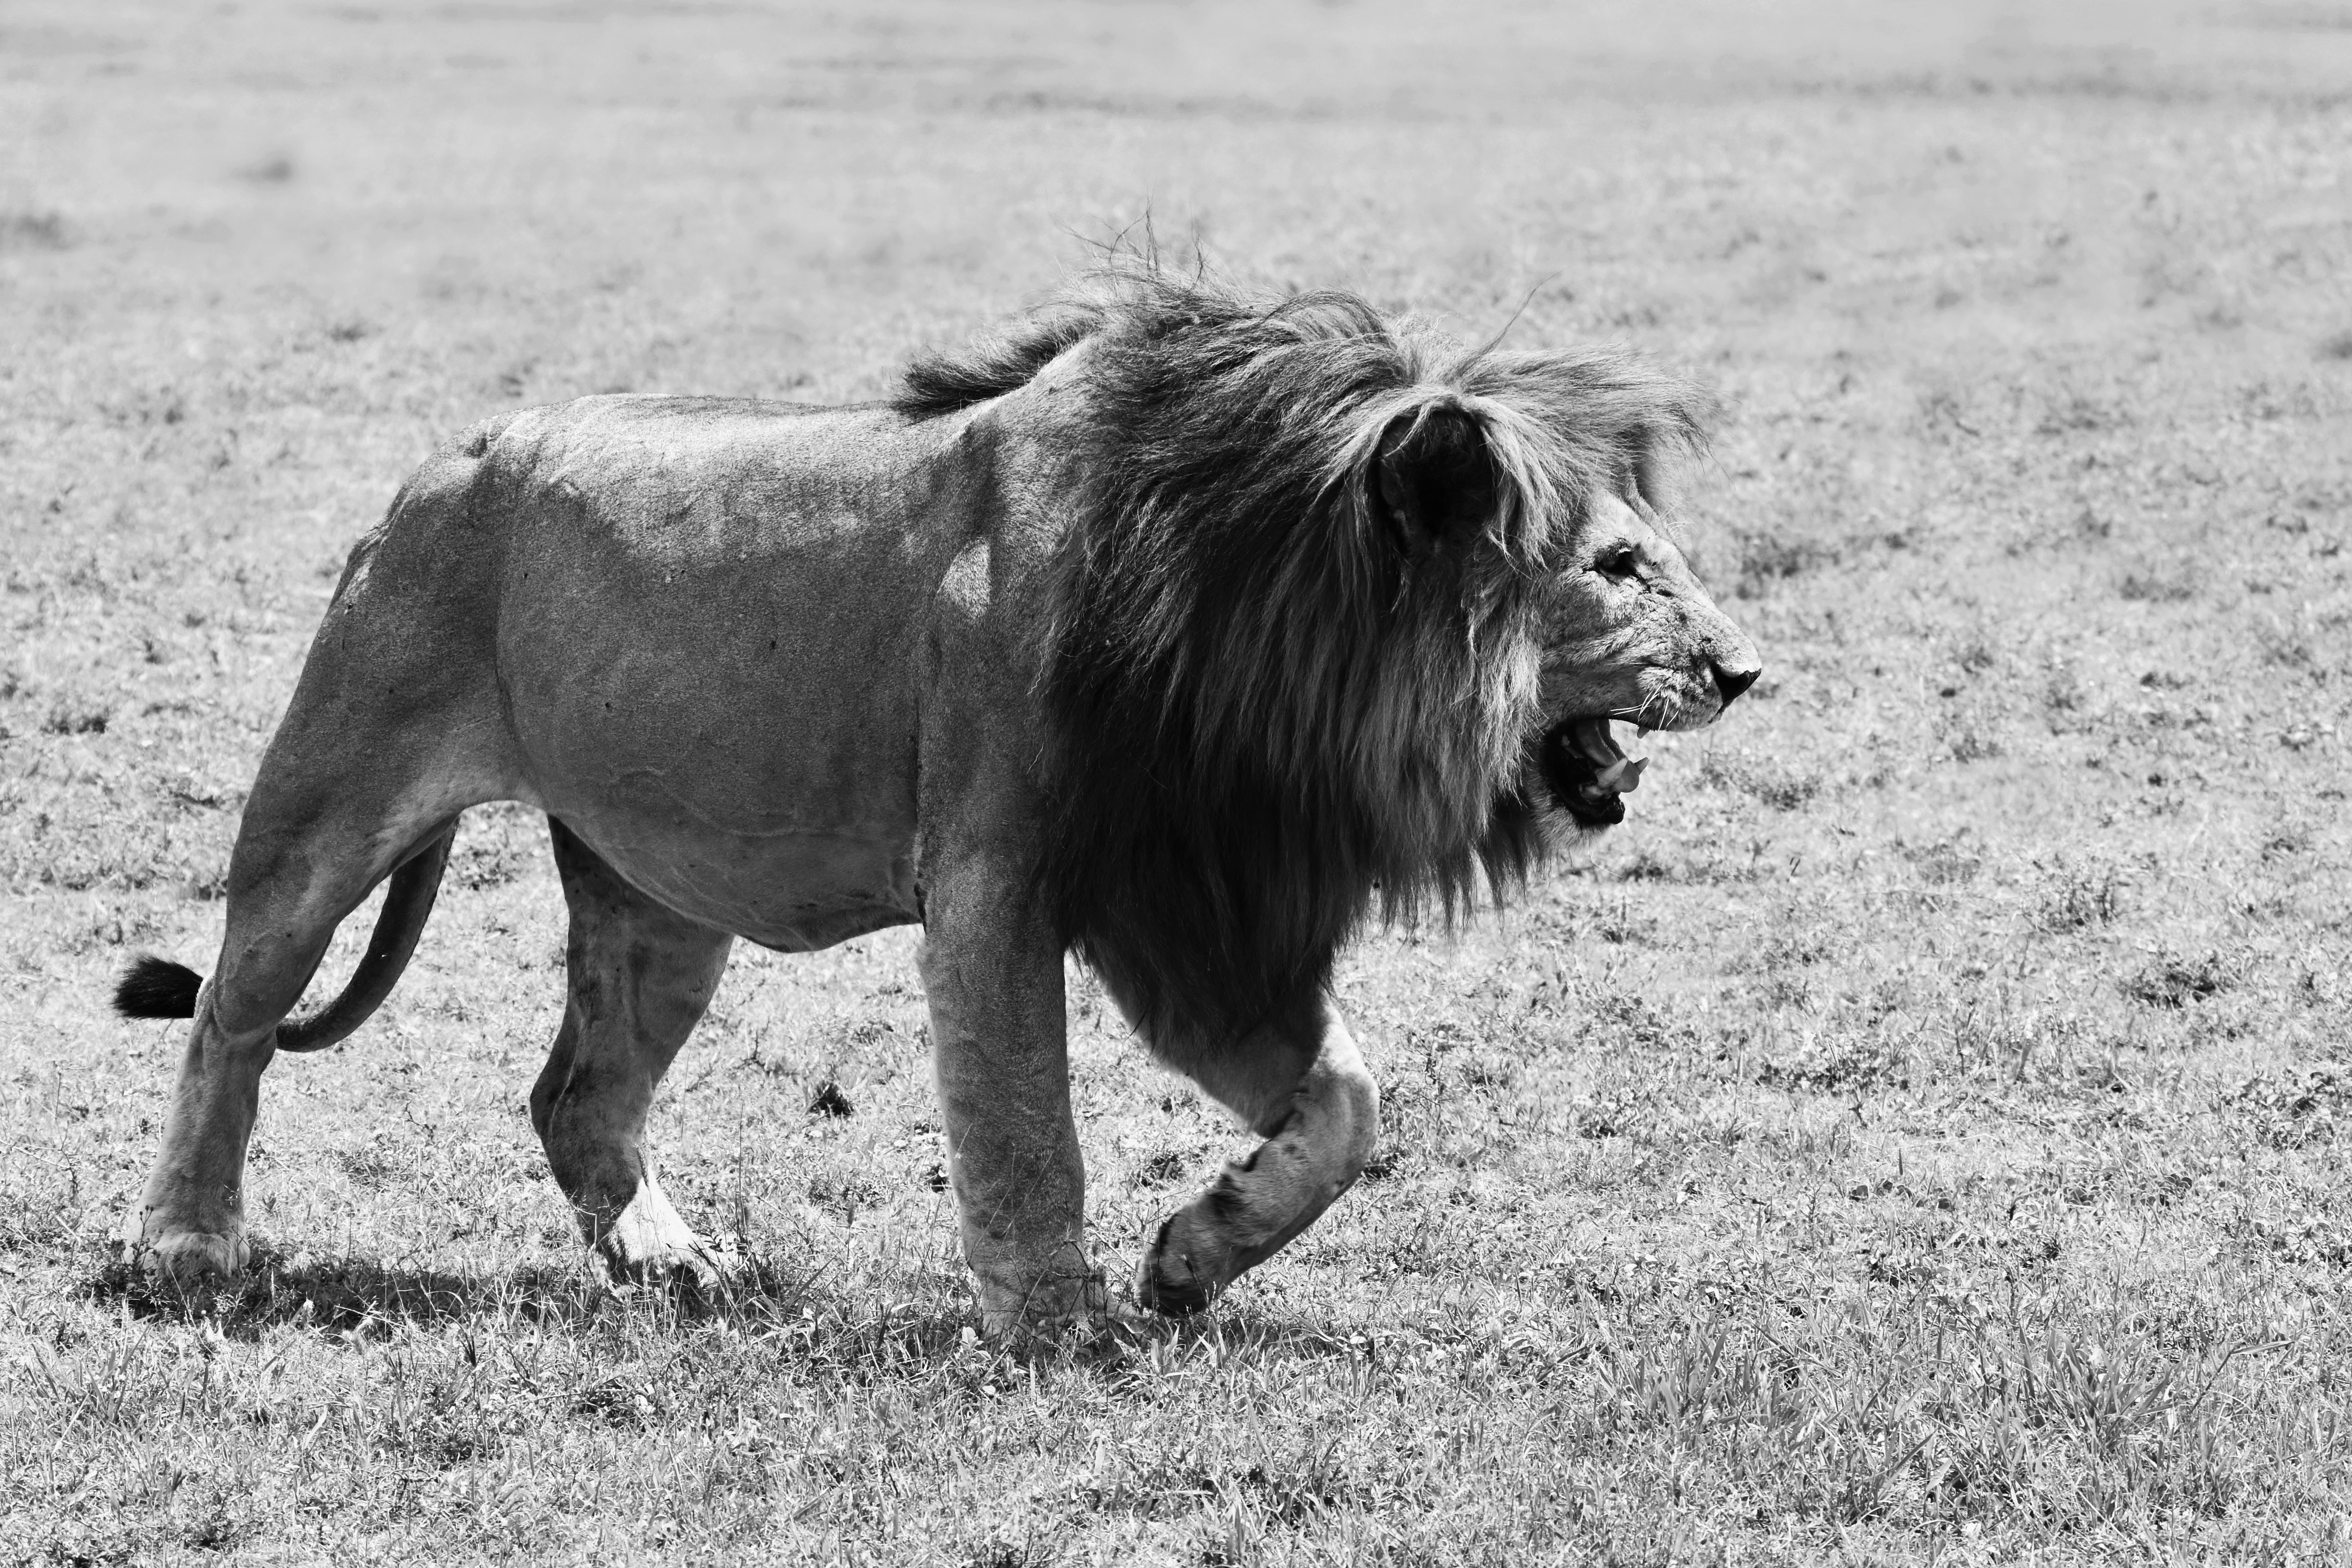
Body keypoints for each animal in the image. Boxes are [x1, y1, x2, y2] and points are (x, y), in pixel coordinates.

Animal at [111, 266, 1759, 1333]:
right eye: (1618, 565)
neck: (1251, 630)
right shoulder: (993, 887)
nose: (1747, 669)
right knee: (231, 1017)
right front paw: (1053, 1327)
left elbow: (1346, 1100)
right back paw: (190, 1242)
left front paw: (1191, 1256)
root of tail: (437, 466)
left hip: (656, 900)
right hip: (329, 801)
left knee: (576, 1091)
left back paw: (675, 1266)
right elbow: (1028, 1127)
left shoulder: (1182, 900)